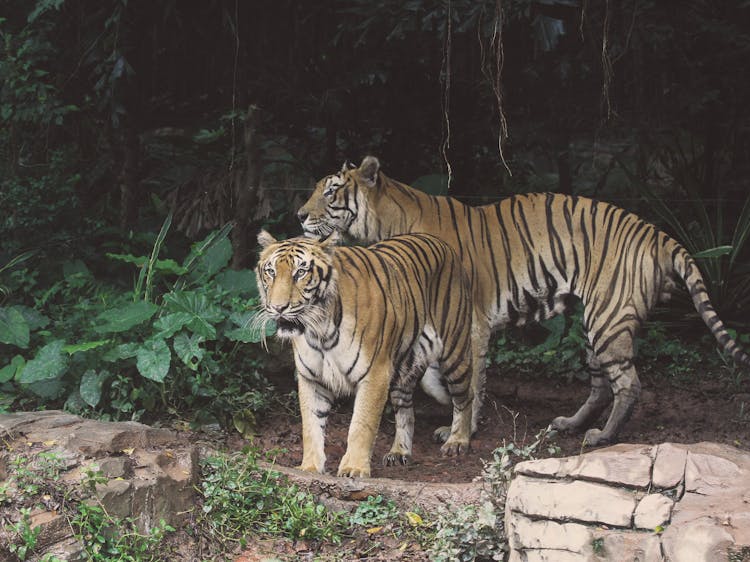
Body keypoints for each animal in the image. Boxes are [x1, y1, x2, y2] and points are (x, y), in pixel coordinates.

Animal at [256, 230, 472, 474]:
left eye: (300, 272)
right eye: (271, 272)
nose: (278, 308)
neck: (319, 330)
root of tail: (438, 240)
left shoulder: (375, 374)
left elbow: (362, 424)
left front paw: (354, 468)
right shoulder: (311, 378)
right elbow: (311, 426)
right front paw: (310, 467)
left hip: (455, 352)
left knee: (465, 397)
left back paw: (457, 441)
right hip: (404, 369)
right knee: (405, 410)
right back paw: (400, 452)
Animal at [300, 155, 750, 444]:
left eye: (331, 193)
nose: (300, 215)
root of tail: (657, 233)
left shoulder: (469, 324)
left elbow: (471, 378)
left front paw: (463, 425)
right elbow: (431, 375)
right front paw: (448, 405)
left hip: (608, 319)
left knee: (629, 384)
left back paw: (602, 437)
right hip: (593, 325)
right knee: (601, 383)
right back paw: (569, 424)